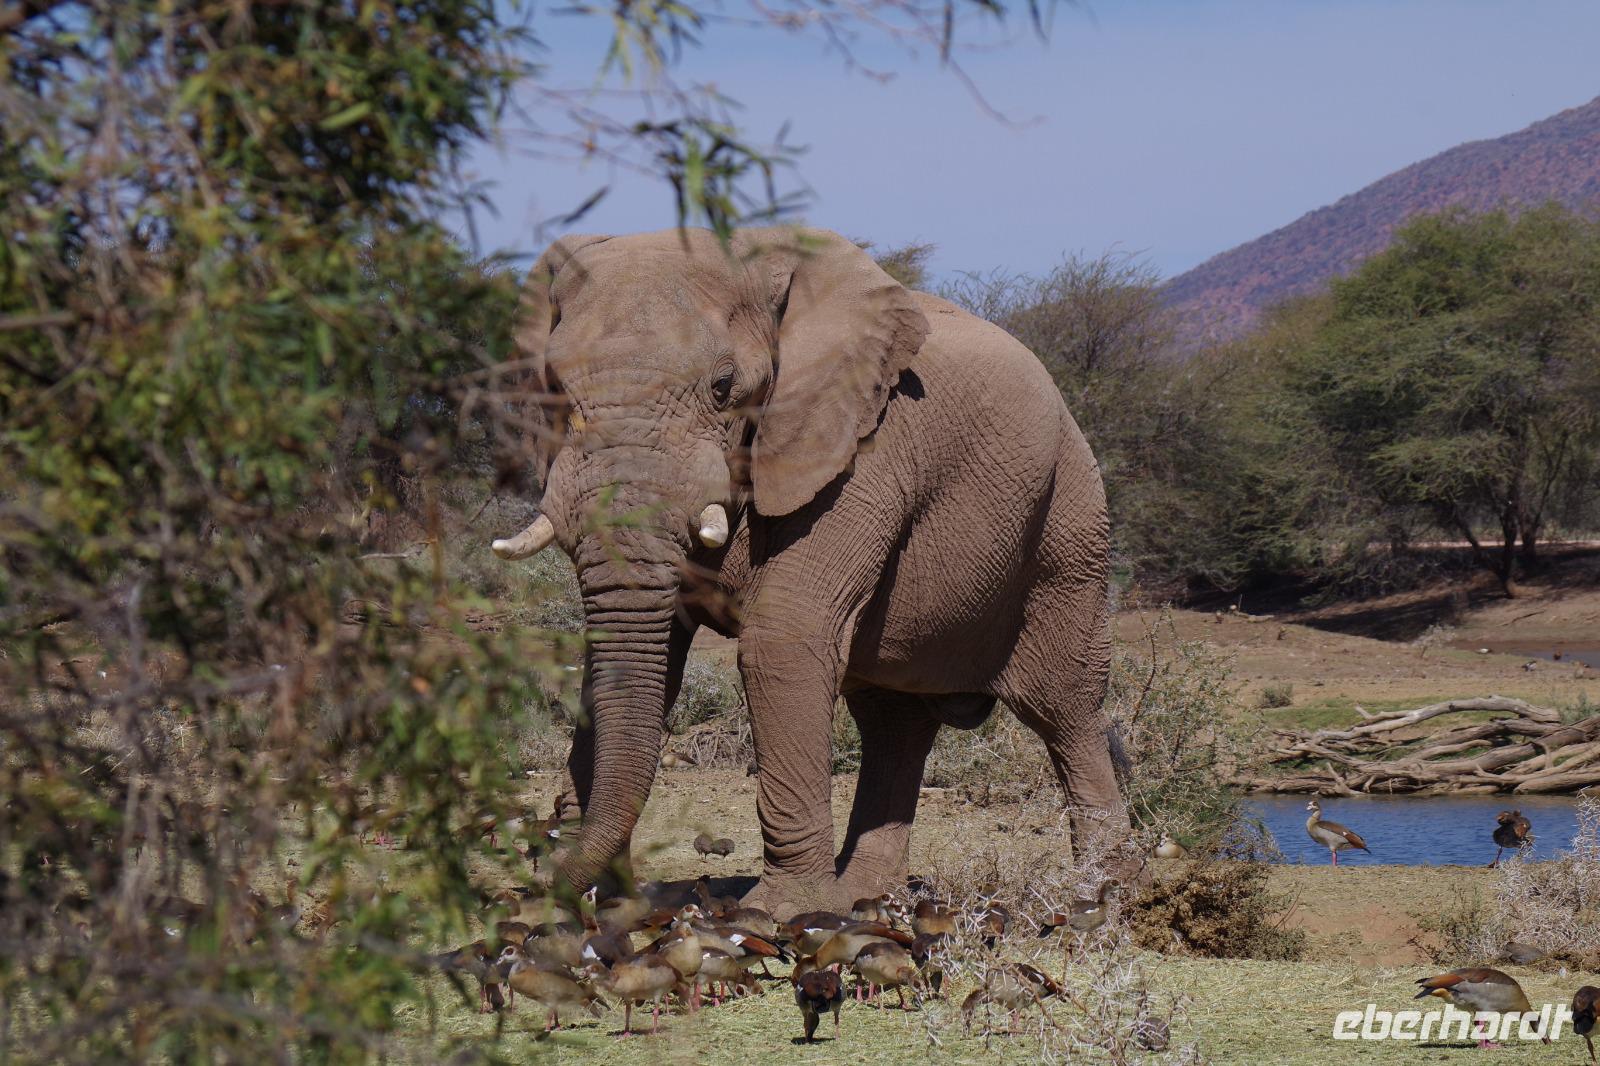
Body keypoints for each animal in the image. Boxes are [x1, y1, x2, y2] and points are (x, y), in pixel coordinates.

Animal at [493, 226, 1125, 917]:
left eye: (723, 386)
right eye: (552, 387)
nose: (543, 865)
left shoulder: (863, 442)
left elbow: (783, 637)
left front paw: (780, 912)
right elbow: (642, 651)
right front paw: (600, 899)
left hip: (1072, 526)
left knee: (1065, 708)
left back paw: (1102, 894)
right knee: (894, 722)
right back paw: (864, 897)